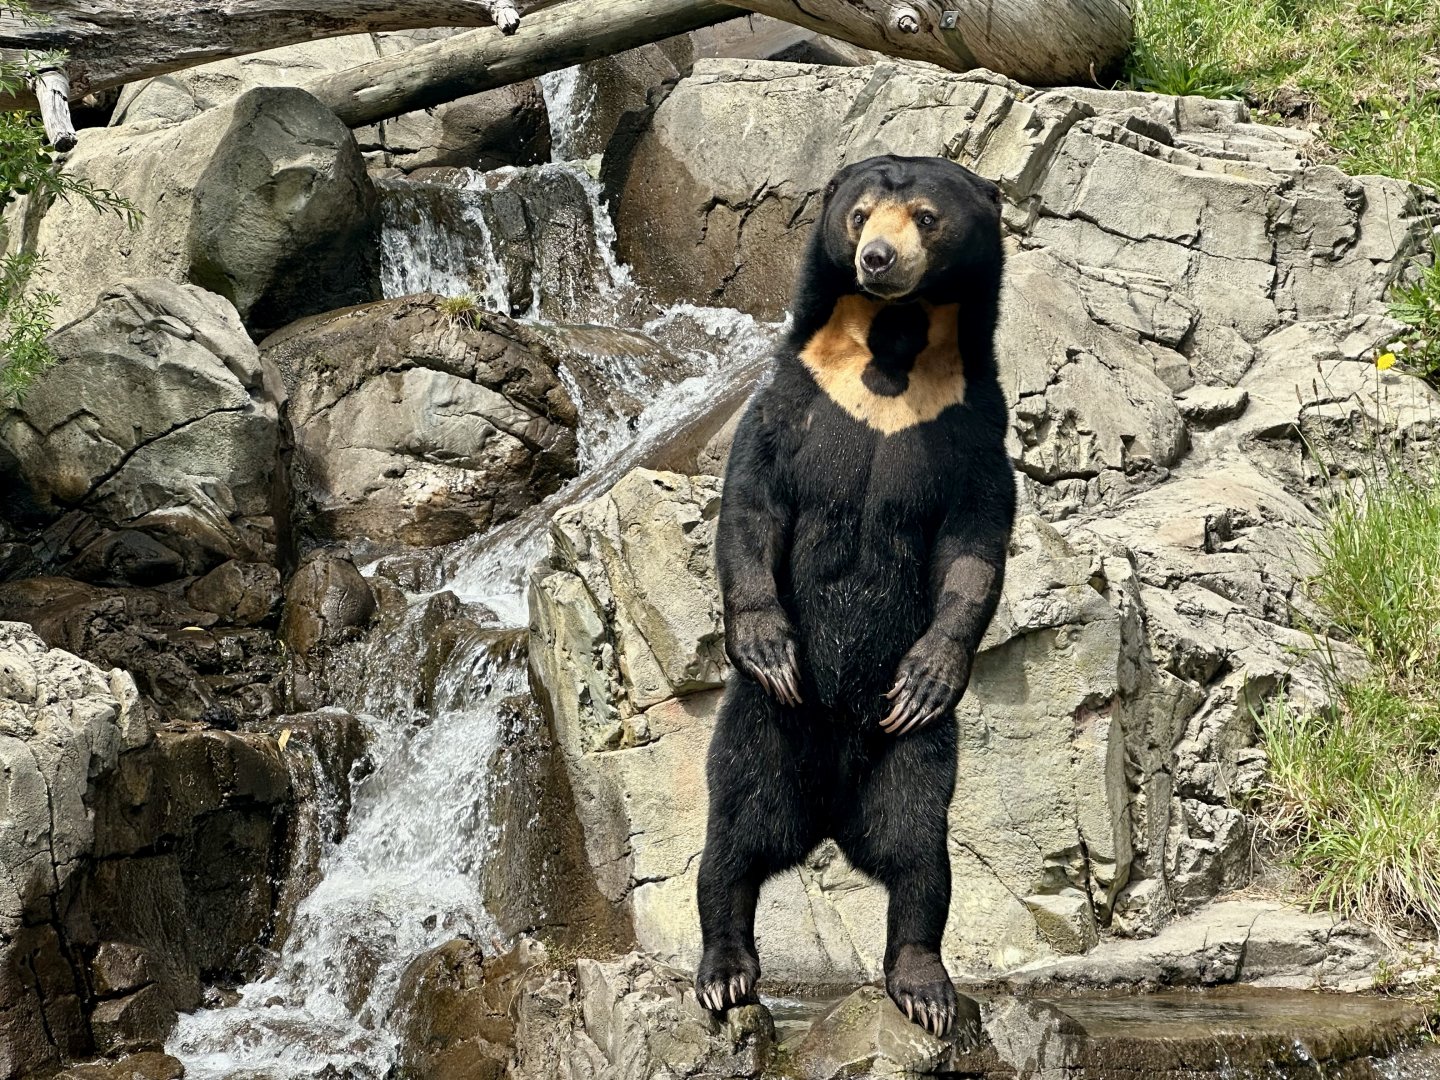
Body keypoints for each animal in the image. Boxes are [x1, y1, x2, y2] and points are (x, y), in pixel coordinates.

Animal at [694, 154, 1016, 1038]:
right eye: (861, 213)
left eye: (926, 217)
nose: (877, 259)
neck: (891, 353)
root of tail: (830, 821)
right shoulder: (791, 397)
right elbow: (753, 500)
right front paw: (765, 639)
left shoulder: (972, 421)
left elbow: (976, 540)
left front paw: (933, 671)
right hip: (766, 724)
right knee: (734, 832)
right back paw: (726, 972)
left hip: (910, 750)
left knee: (918, 850)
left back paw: (923, 985)